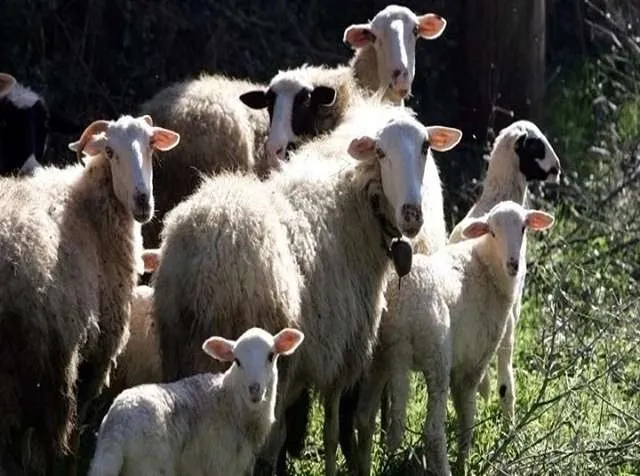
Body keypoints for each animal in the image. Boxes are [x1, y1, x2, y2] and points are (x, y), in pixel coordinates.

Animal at [0, 115, 180, 474]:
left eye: (151, 144)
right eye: (110, 151)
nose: (143, 200)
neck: (88, 207)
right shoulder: (94, 353)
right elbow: (73, 432)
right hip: (45, 366)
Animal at [87, 326, 304, 476]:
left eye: (271, 355)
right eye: (237, 361)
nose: (255, 389)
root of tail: (116, 431)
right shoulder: (221, 466)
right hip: (150, 467)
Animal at [151, 99, 462, 476]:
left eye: (425, 147)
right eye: (381, 152)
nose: (412, 214)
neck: (355, 198)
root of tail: (208, 257)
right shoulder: (342, 348)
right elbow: (330, 428)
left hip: (182, 350)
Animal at [354, 201, 555, 476]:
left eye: (524, 228)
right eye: (492, 232)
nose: (514, 264)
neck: (485, 265)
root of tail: (398, 310)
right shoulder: (473, 363)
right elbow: (467, 414)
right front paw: (465, 463)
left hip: (378, 357)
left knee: (364, 418)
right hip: (436, 353)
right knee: (433, 431)